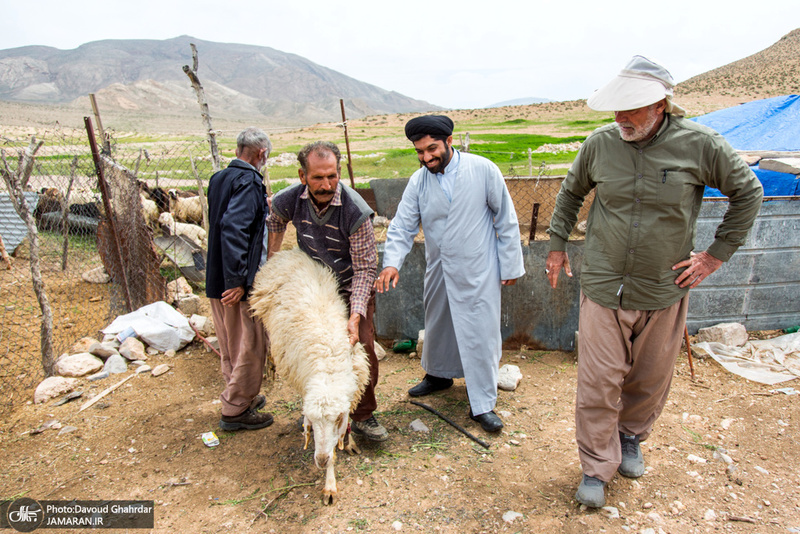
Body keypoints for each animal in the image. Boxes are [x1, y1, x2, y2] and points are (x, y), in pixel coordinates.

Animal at [250, 249, 372, 508]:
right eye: (313, 423)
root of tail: (286, 253)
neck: (329, 367)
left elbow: (343, 432)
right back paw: (269, 364)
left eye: (336, 419)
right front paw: (330, 483)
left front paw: (348, 443)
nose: (321, 460)